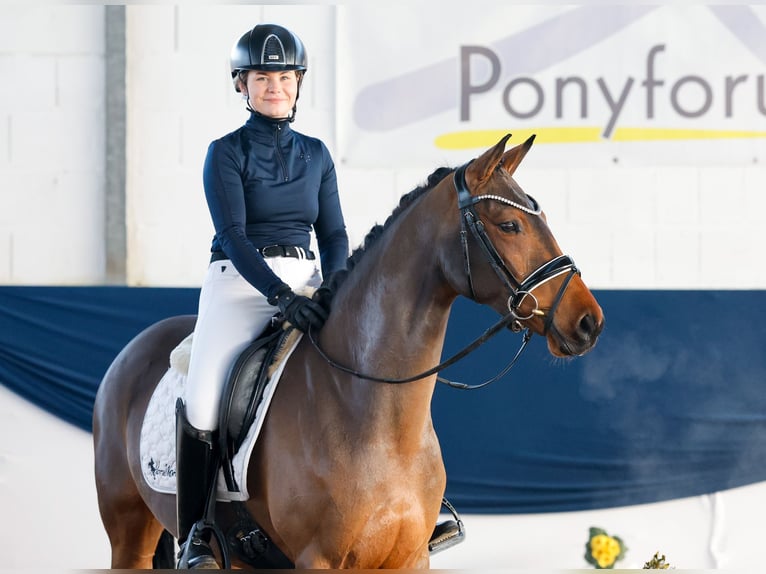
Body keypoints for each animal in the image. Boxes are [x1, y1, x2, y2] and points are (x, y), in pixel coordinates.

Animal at [91, 136, 608, 572]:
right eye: (509, 225)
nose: (589, 322)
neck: (375, 415)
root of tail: (134, 349)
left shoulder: (408, 560)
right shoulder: (317, 560)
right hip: (128, 534)